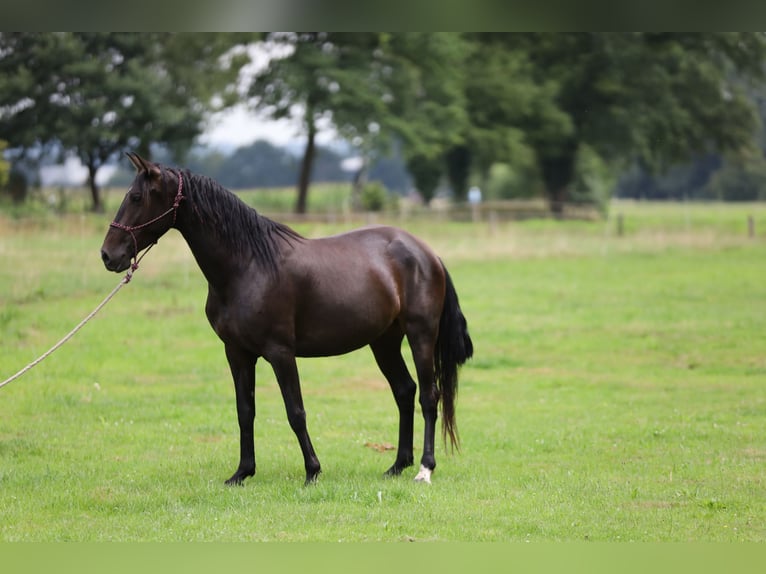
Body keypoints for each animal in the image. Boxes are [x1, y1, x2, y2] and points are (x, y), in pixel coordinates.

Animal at [100, 152, 473, 485]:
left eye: (136, 196)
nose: (108, 255)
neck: (247, 266)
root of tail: (426, 252)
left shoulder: (280, 352)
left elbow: (295, 412)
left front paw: (312, 471)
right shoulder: (237, 353)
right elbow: (245, 412)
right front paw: (242, 473)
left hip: (420, 335)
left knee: (429, 396)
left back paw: (425, 469)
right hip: (383, 342)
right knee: (404, 391)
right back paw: (397, 466)